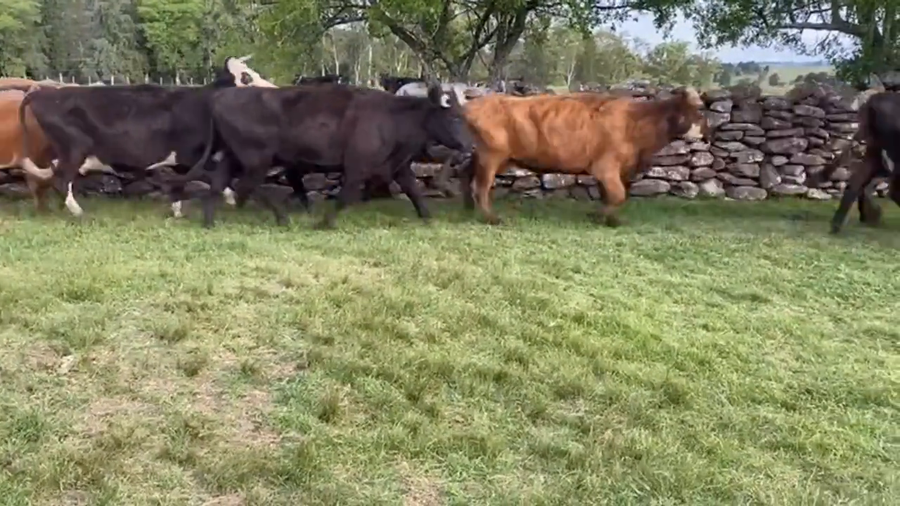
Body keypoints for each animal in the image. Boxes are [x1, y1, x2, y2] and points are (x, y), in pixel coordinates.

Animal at [7, 56, 277, 219]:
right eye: (247, 76)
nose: (274, 90)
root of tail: (45, 92)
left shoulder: (183, 160)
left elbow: (179, 184)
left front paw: (177, 211)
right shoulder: (192, 156)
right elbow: (211, 178)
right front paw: (231, 198)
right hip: (74, 150)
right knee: (62, 180)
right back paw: (78, 212)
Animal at [169, 81, 473, 229]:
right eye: (455, 117)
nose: (470, 146)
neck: (394, 117)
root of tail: (221, 97)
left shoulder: (398, 165)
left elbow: (414, 191)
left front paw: (428, 217)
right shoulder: (357, 166)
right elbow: (345, 195)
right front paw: (324, 224)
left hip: (234, 156)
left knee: (219, 183)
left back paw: (209, 223)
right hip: (255, 158)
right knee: (247, 185)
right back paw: (282, 218)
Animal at [459, 87, 710, 226]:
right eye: (698, 110)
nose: (708, 131)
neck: (636, 121)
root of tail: (473, 104)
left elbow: (609, 196)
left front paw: (609, 219)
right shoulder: (606, 167)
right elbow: (618, 195)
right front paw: (599, 217)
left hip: (491, 157)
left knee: (466, 174)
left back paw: (468, 207)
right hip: (491, 156)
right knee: (481, 187)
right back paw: (491, 218)